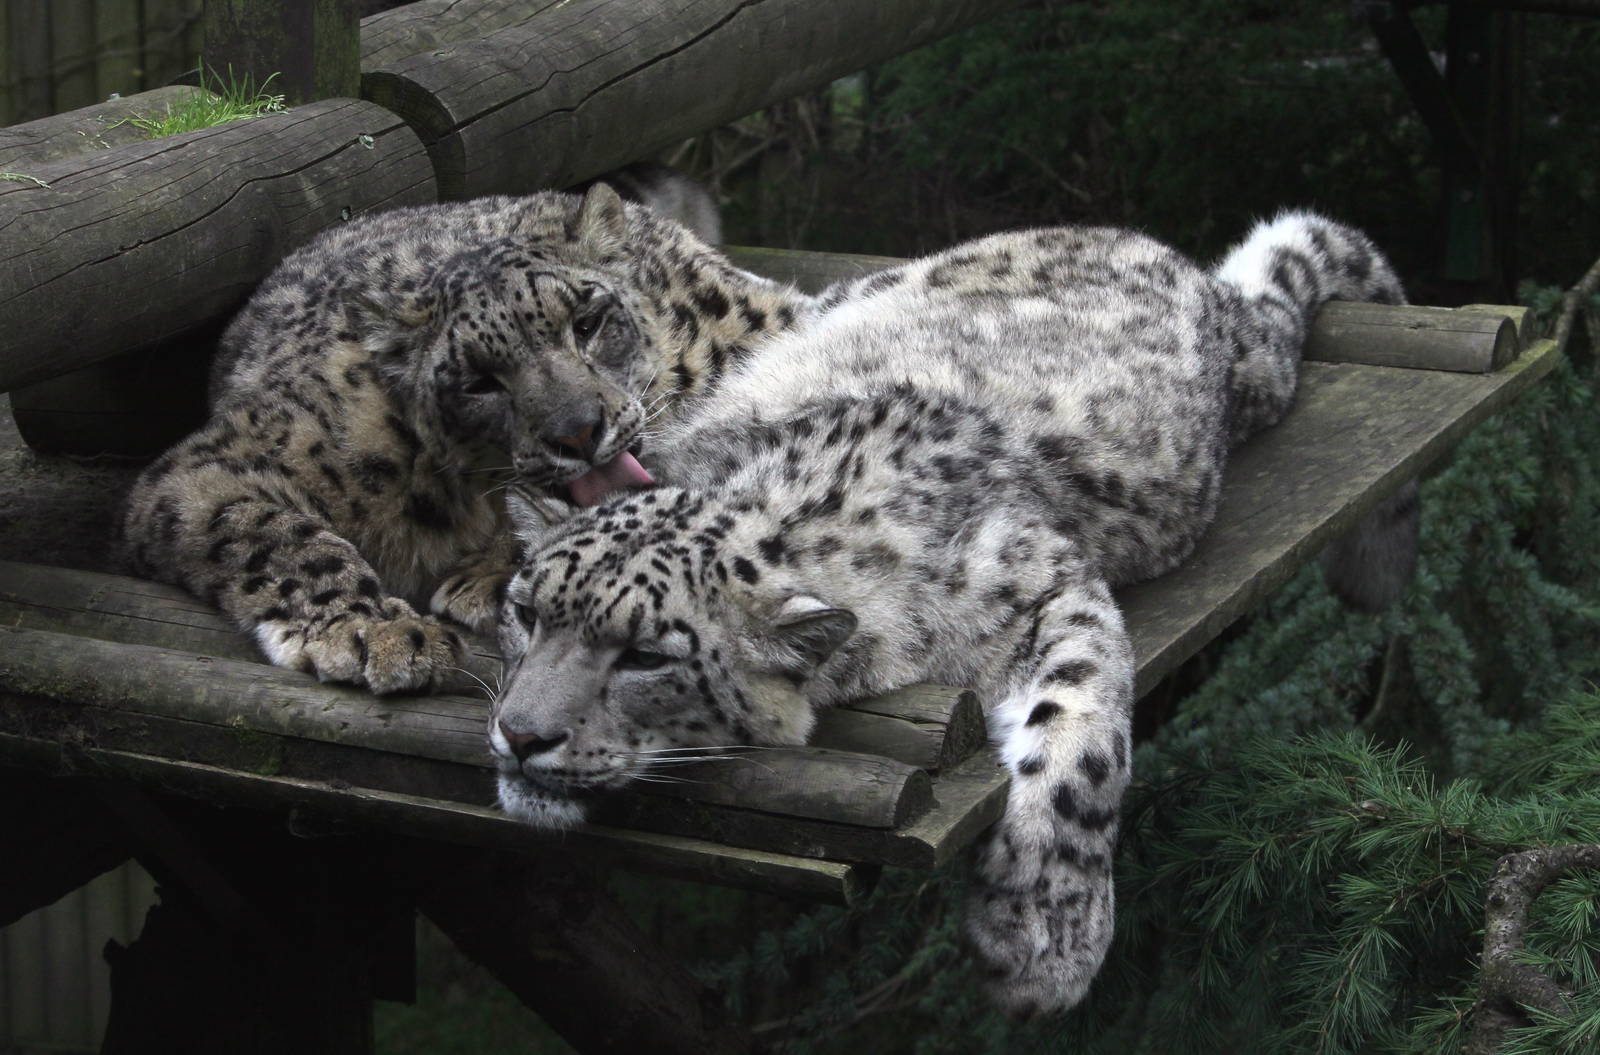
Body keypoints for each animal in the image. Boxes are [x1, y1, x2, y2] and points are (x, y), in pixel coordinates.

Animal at [116, 180, 807, 694]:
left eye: (587, 322)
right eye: (479, 382)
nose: (580, 432)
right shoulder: (210, 467)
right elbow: (281, 536)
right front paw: (377, 632)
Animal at [487, 211, 1408, 1013]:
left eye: (645, 656)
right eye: (526, 613)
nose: (520, 734)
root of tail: (1171, 258)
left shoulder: (1042, 584)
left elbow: (1084, 741)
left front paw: (1043, 939)